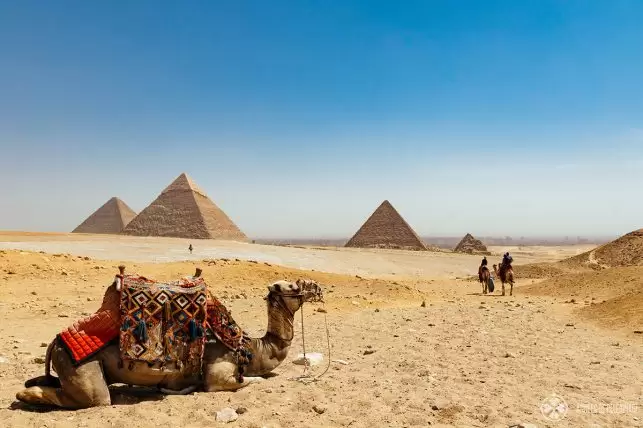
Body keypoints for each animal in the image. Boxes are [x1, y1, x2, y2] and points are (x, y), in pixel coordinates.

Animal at [16, 270, 322, 410]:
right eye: (293, 285)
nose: (316, 287)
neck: (248, 346)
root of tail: (56, 342)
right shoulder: (217, 371)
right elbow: (245, 381)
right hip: (84, 371)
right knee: (94, 398)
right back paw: (26, 395)